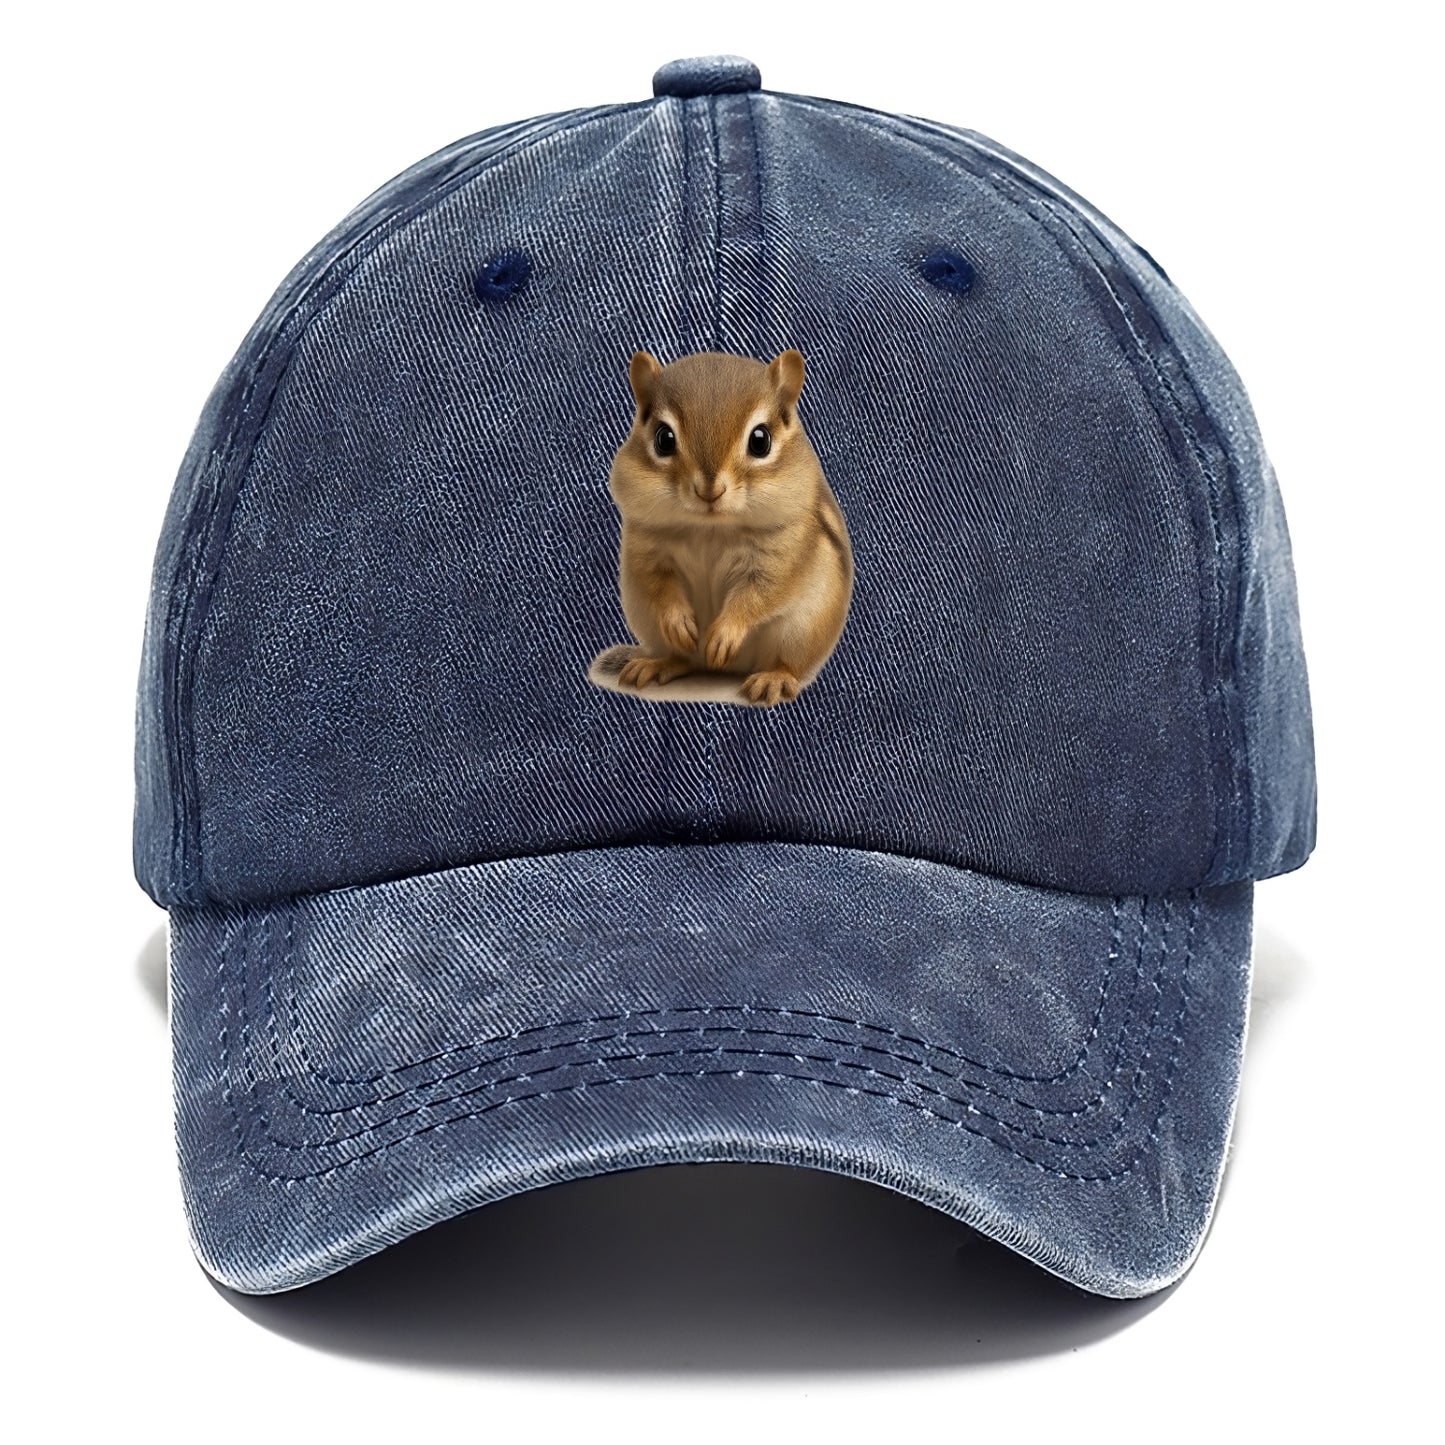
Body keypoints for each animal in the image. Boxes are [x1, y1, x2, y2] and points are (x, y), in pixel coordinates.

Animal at [601, 348, 854, 707]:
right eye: (664, 439)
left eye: (760, 441)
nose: (710, 491)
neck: (711, 528)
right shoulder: (647, 550)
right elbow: (659, 584)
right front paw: (679, 621)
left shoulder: (779, 557)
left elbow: (758, 594)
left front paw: (724, 634)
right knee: (683, 659)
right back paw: (657, 664)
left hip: (802, 628)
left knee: (788, 663)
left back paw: (773, 678)